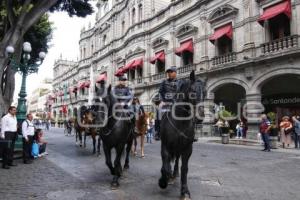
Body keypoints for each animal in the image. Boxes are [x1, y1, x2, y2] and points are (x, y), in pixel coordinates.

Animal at [158, 71, 203, 199]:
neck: (180, 122)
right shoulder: (165, 145)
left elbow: (184, 169)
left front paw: (185, 191)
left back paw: (174, 174)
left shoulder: (187, 149)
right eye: (193, 90)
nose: (200, 117)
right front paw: (163, 181)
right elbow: (165, 166)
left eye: (205, 91)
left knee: (177, 160)